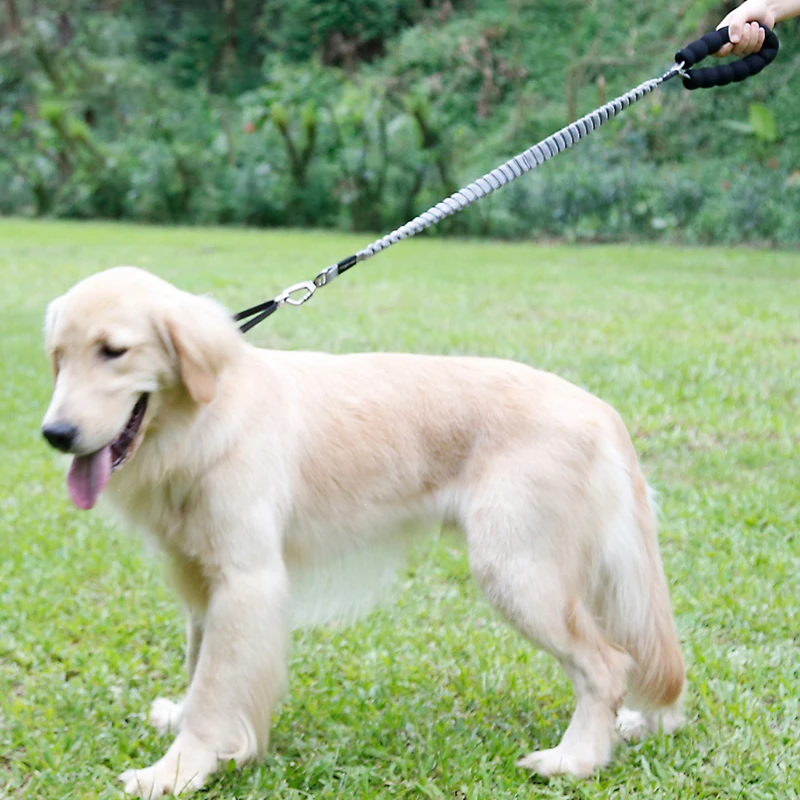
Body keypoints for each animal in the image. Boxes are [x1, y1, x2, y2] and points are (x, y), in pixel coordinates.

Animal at [40, 268, 684, 792]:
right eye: (58, 356)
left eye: (114, 351)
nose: (55, 433)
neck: (206, 417)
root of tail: (600, 410)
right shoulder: (203, 578)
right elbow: (200, 668)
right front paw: (187, 723)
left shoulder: (247, 580)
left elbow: (217, 686)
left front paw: (179, 769)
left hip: (518, 572)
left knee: (608, 665)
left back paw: (573, 760)